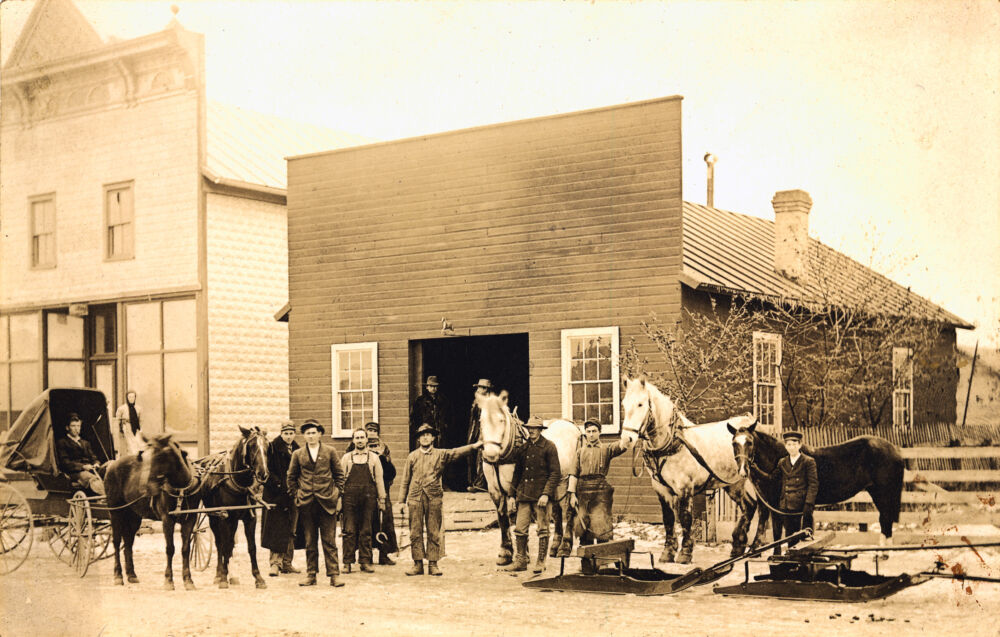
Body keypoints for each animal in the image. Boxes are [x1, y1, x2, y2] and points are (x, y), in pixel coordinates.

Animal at [104, 434, 202, 588]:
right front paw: (168, 580)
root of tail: (112, 464)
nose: (146, 488)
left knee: (128, 543)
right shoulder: (167, 520)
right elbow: (170, 548)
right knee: (116, 542)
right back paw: (118, 575)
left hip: (133, 517)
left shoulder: (190, 520)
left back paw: (131, 575)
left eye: (161, 456)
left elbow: (185, 549)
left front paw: (188, 580)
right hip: (115, 513)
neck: (180, 489)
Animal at [197, 424, 270, 588]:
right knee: (219, 543)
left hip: (234, 520)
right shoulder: (224, 517)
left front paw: (258, 577)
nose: (263, 474)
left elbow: (251, 547)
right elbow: (224, 546)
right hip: (214, 517)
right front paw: (223, 577)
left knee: (229, 543)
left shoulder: (250, 519)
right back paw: (219, 574)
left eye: (267, 446)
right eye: (252, 446)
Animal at [478, 396, 584, 564]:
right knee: (557, 511)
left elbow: (519, 517)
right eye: (481, 420)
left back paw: (565, 546)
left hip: (567, 481)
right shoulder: (495, 490)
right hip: (555, 483)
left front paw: (524, 554)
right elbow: (503, 518)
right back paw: (555, 545)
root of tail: (573, 426)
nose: (490, 453)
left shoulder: (517, 487)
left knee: (569, 509)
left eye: (501, 420)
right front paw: (505, 552)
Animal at [616, 378, 764, 560]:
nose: (627, 439)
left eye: (640, 404)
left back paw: (755, 547)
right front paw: (668, 552)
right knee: (749, 506)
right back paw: (738, 545)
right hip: (734, 483)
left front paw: (685, 553)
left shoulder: (685, 487)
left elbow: (685, 517)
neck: (672, 443)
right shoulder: (661, 489)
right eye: (624, 404)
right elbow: (668, 518)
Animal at [728, 422, 908, 540]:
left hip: (883, 492)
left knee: (885, 518)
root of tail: (894, 450)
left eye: (750, 442)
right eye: (734, 443)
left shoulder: (777, 507)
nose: (743, 470)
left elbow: (779, 534)